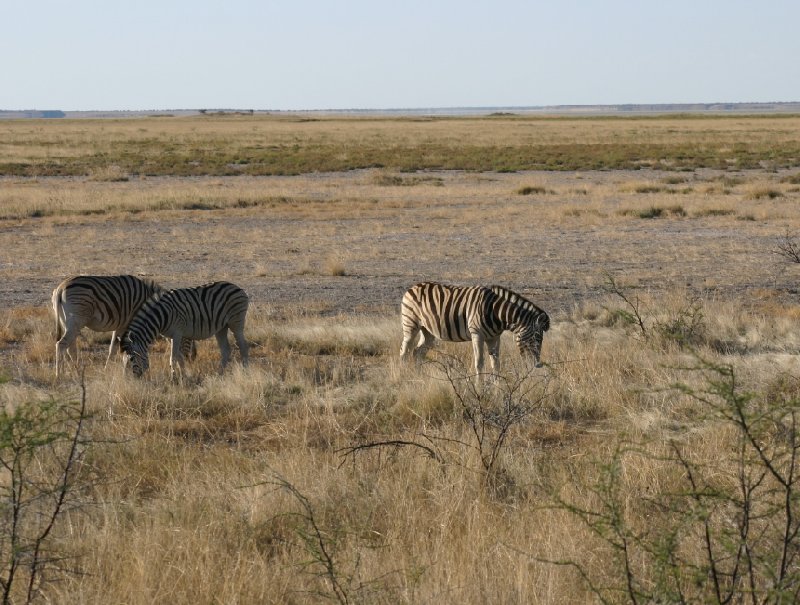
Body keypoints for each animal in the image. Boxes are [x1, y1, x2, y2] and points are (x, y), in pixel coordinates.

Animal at [52, 274, 196, 378]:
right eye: (188, 338)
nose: (192, 359)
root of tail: (60, 288)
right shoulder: (130, 323)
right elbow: (124, 347)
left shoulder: (120, 325)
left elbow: (113, 348)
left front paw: (106, 369)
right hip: (77, 320)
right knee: (61, 344)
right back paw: (59, 375)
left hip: (68, 322)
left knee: (70, 348)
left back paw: (75, 372)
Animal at [119, 280, 247, 378]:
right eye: (123, 361)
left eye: (131, 359)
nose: (129, 381)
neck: (162, 315)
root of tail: (237, 287)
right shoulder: (171, 336)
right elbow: (179, 357)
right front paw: (183, 375)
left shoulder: (177, 333)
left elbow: (173, 357)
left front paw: (173, 378)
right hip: (221, 328)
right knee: (226, 350)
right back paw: (219, 374)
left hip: (236, 322)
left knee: (243, 346)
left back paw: (246, 369)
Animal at [400, 282, 552, 376]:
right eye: (537, 338)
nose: (537, 365)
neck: (496, 312)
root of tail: (413, 287)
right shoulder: (477, 334)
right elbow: (479, 363)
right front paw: (480, 389)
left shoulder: (494, 337)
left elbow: (496, 364)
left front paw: (497, 389)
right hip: (411, 324)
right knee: (404, 351)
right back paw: (404, 376)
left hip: (428, 331)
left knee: (418, 352)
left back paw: (419, 376)